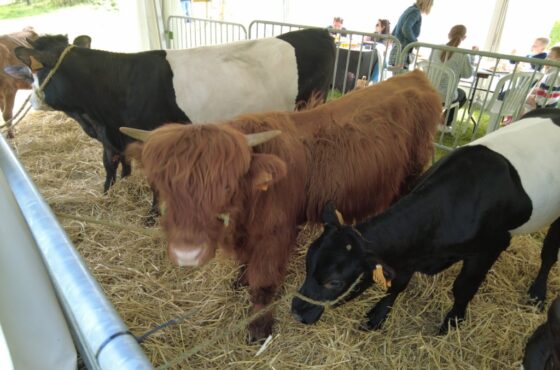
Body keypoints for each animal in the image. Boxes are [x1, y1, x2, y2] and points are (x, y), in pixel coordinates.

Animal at [4, 29, 334, 195]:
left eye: (36, 68)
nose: (34, 101)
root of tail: (321, 31)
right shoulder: (112, 136)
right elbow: (110, 163)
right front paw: (110, 190)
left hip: (311, 103)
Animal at [290, 107, 560, 336]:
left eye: (334, 282)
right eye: (307, 264)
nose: (297, 312)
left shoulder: (490, 247)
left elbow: (463, 288)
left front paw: (452, 322)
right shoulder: (410, 247)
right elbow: (398, 283)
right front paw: (377, 316)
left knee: (548, 254)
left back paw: (537, 293)